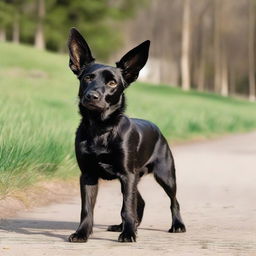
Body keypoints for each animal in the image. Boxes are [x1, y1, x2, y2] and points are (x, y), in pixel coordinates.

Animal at [67, 27, 185, 242]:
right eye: (87, 78)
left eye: (112, 83)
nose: (91, 96)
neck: (101, 129)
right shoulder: (88, 175)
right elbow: (87, 209)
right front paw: (82, 233)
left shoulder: (126, 174)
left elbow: (126, 207)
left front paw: (129, 233)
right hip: (136, 178)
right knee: (141, 202)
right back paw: (124, 226)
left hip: (165, 175)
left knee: (173, 200)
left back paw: (177, 225)